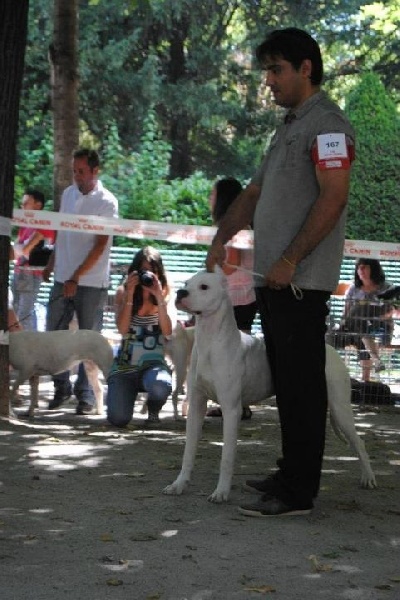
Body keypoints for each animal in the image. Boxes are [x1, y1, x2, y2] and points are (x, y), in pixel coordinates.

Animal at [164, 268, 376, 502]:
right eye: (186, 283)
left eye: (204, 287)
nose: (181, 293)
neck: (210, 342)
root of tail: (330, 349)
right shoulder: (196, 406)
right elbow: (188, 452)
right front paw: (179, 484)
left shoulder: (231, 410)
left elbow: (226, 457)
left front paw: (221, 492)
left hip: (340, 408)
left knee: (360, 443)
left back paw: (368, 478)